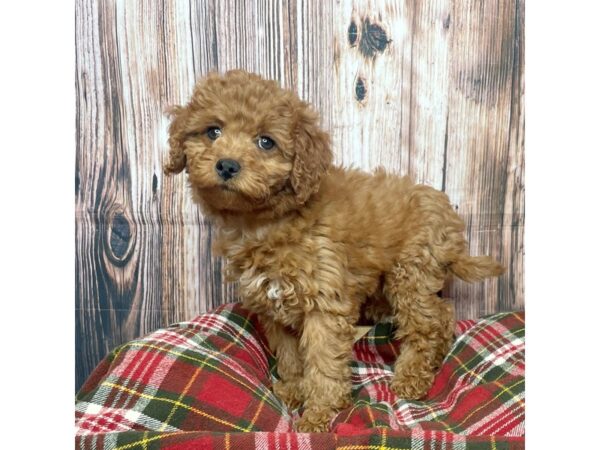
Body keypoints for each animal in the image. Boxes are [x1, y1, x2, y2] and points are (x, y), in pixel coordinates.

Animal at [163, 70, 502, 432]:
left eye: (266, 142)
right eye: (212, 131)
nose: (227, 165)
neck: (266, 221)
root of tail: (445, 209)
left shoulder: (323, 307)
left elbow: (323, 361)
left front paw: (318, 414)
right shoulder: (272, 308)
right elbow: (290, 356)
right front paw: (295, 389)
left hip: (410, 275)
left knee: (427, 323)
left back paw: (412, 377)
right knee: (443, 313)